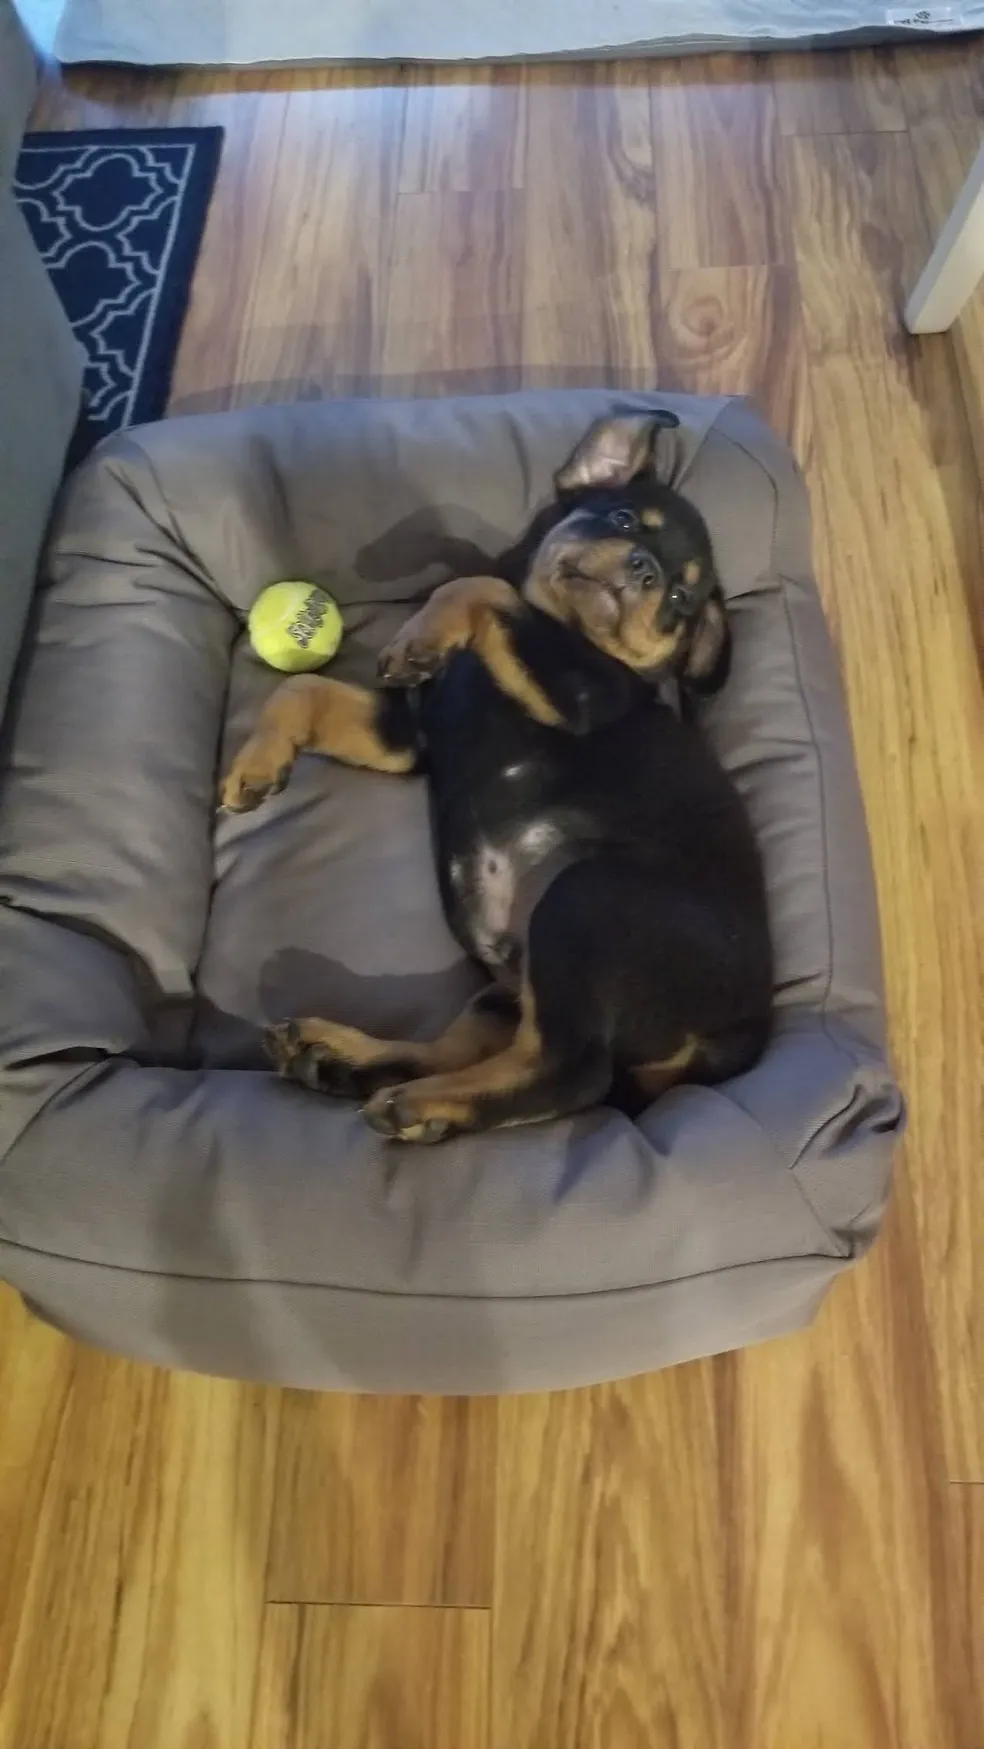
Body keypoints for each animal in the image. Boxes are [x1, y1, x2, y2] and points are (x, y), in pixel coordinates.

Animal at [221, 411, 773, 1143]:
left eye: (681, 600)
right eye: (623, 518)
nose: (646, 571)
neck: (565, 630)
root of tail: (745, 1032)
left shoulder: (579, 694)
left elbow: (483, 590)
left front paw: (422, 633)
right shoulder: (409, 736)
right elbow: (303, 691)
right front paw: (256, 769)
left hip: (586, 902)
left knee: (571, 1072)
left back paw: (412, 1101)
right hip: (510, 992)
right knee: (468, 1049)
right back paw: (338, 1056)